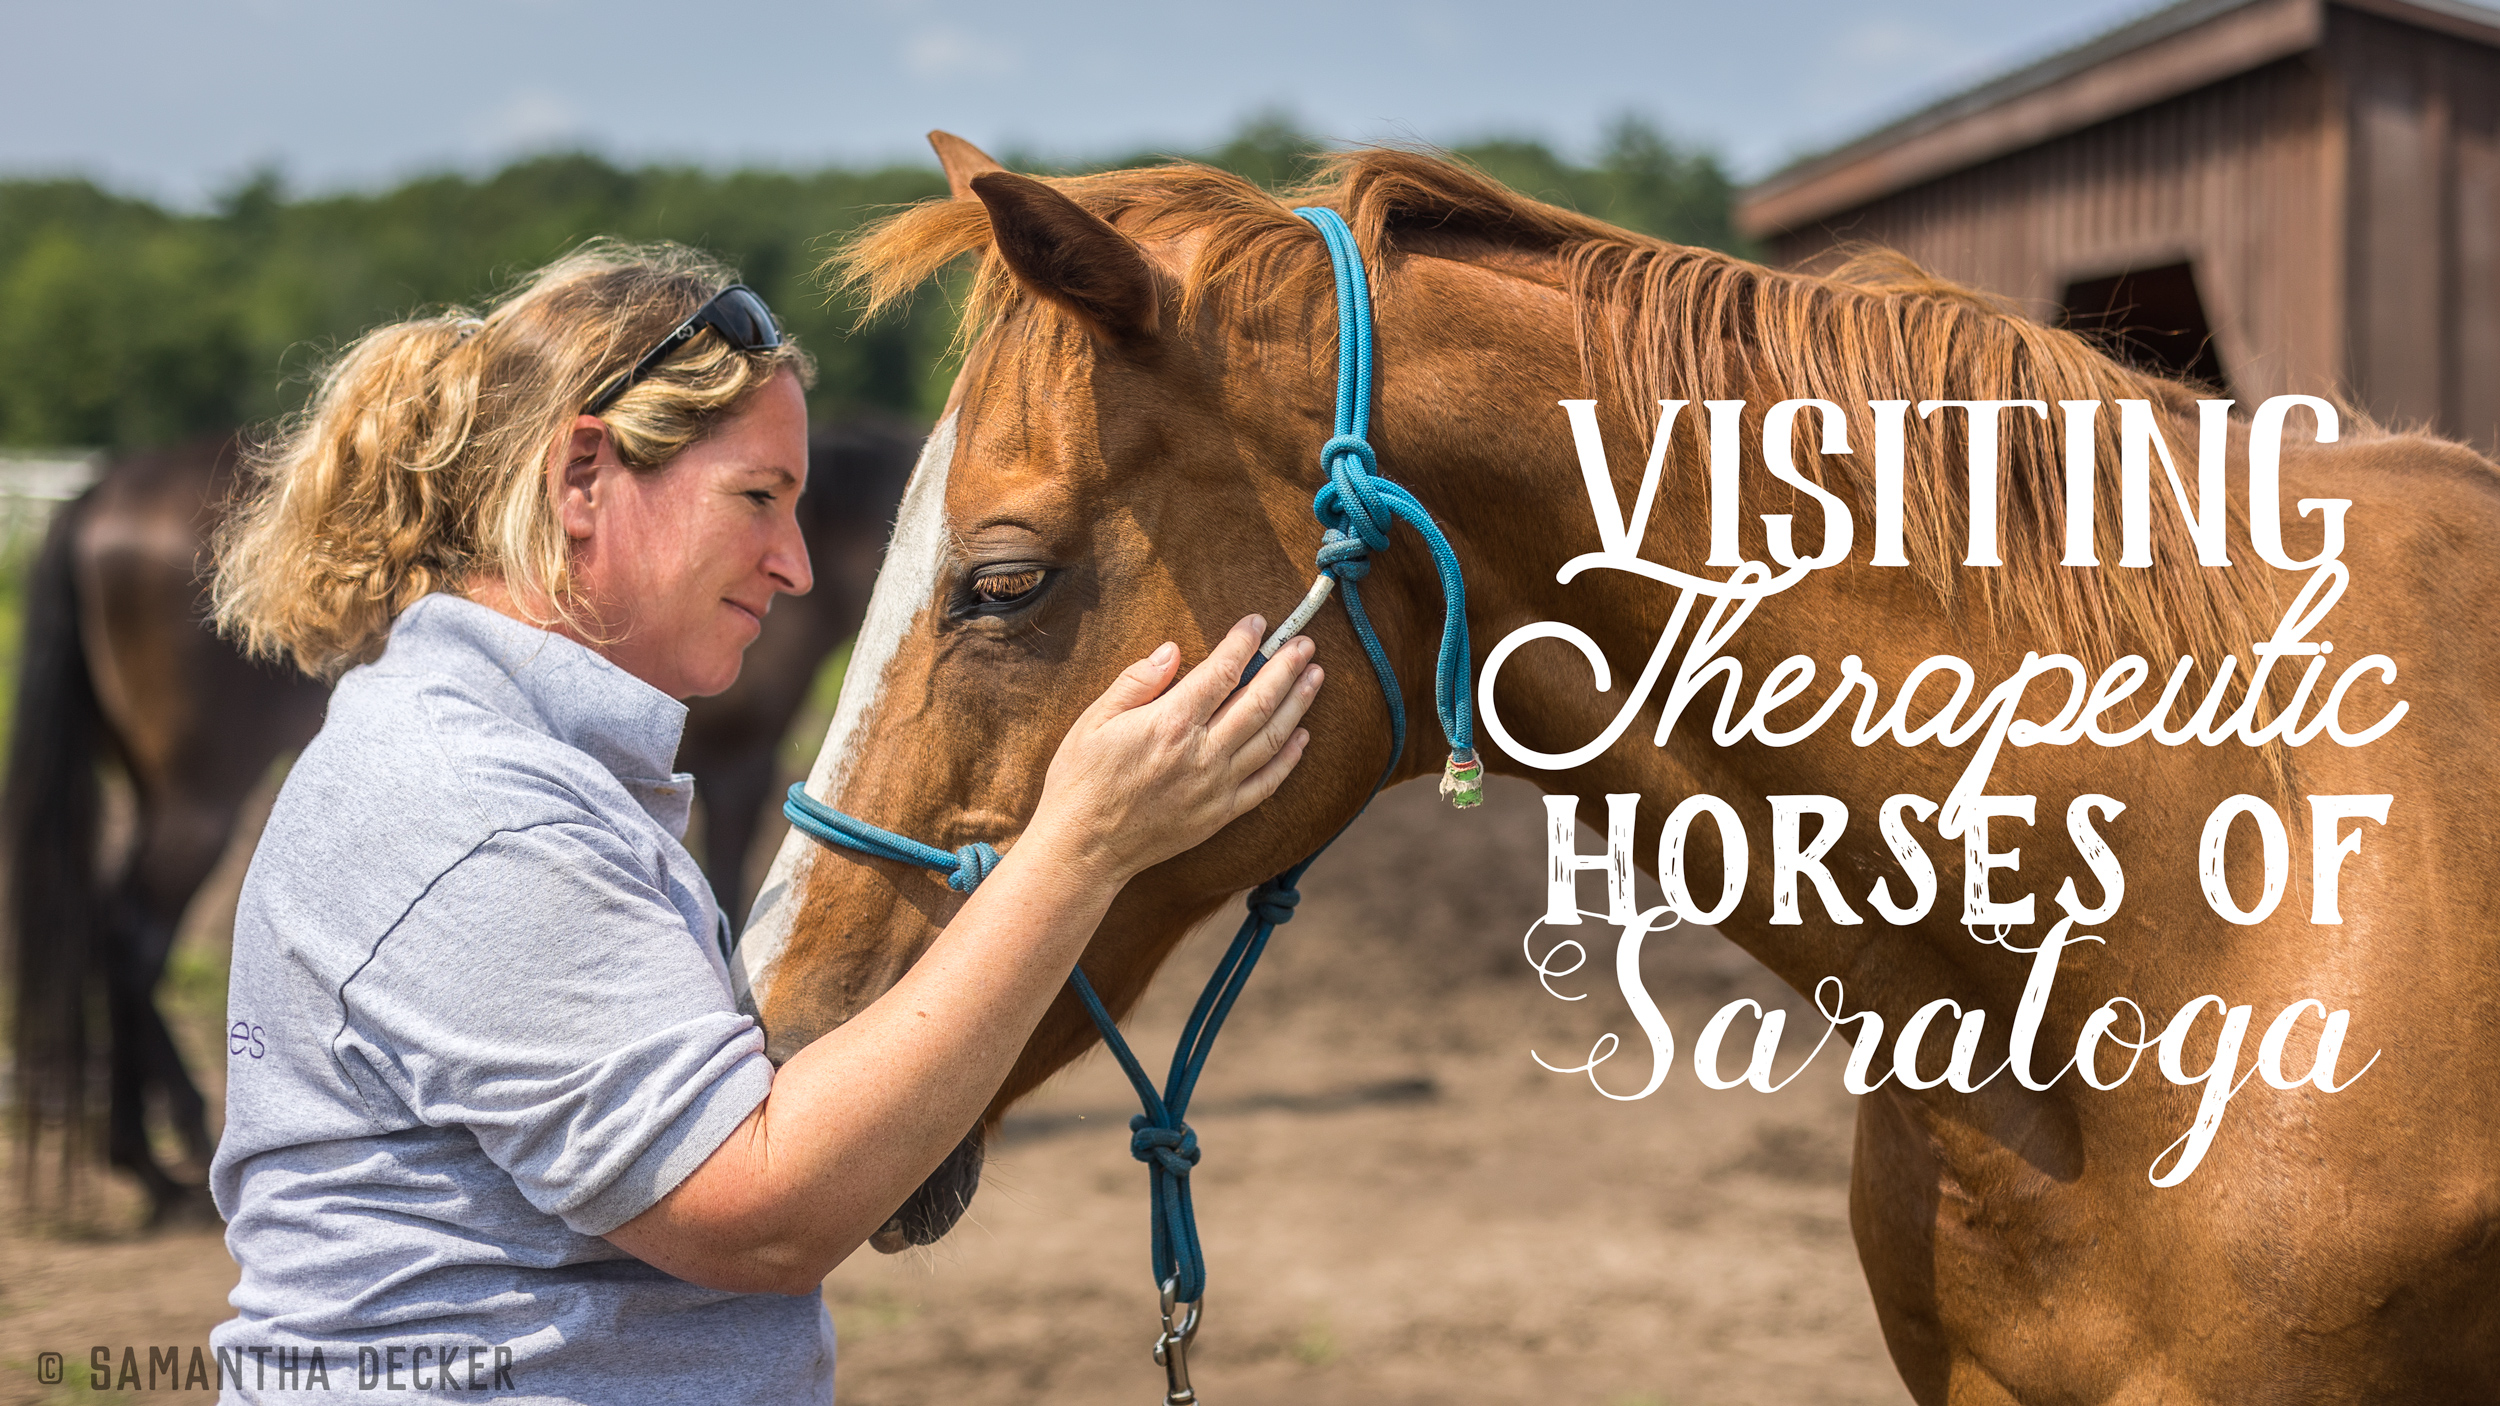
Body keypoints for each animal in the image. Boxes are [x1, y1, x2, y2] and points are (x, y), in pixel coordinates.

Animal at [2, 415, 920, 1215]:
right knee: (132, 935)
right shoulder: (741, 758)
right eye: (761, 496)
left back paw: (154, 1152)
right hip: (201, 795)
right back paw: (167, 1155)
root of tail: (97, 492)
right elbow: (727, 882)